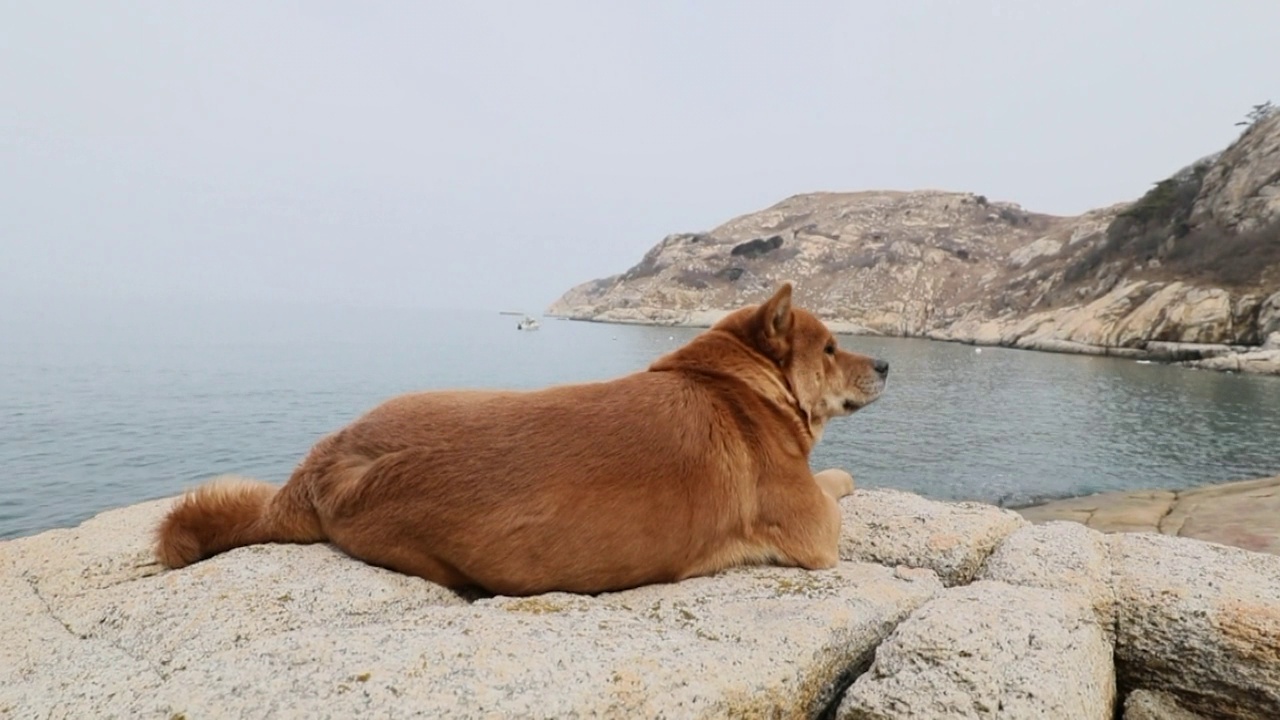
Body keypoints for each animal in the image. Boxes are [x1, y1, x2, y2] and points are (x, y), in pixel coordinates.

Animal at [152, 281, 890, 594]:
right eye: (831, 348)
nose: (886, 363)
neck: (731, 380)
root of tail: (324, 461)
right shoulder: (814, 525)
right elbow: (836, 480)